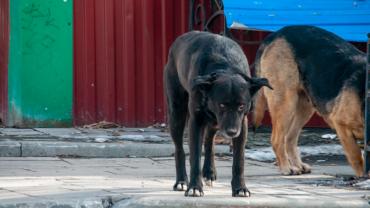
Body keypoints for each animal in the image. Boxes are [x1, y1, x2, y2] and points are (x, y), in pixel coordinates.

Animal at [165, 30, 272, 197]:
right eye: (222, 104)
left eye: (241, 106)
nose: (232, 132)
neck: (225, 67)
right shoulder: (196, 121)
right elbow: (195, 157)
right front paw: (194, 187)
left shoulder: (242, 124)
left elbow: (239, 161)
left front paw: (240, 188)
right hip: (177, 112)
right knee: (179, 149)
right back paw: (181, 181)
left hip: (215, 122)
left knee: (209, 140)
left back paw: (209, 172)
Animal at [253, 25, 366, 176]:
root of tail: (276, 34)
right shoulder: (341, 124)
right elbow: (356, 157)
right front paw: (363, 176)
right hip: (286, 103)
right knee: (277, 139)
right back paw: (286, 167)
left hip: (305, 107)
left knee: (289, 138)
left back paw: (298, 165)